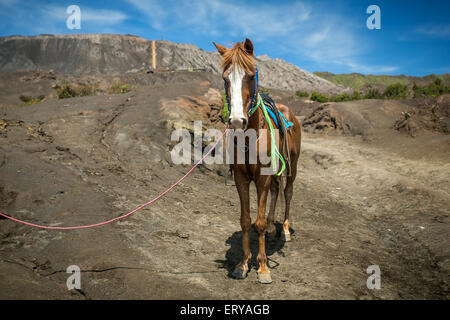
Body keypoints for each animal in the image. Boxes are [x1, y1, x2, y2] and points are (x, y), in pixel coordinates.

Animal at [213, 38, 300, 284]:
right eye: (225, 78)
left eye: (251, 76)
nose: (236, 121)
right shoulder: (241, 178)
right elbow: (245, 220)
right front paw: (243, 264)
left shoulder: (261, 178)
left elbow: (258, 223)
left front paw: (262, 268)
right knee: (276, 191)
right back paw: (272, 227)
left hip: (292, 166)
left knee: (287, 192)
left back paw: (285, 230)